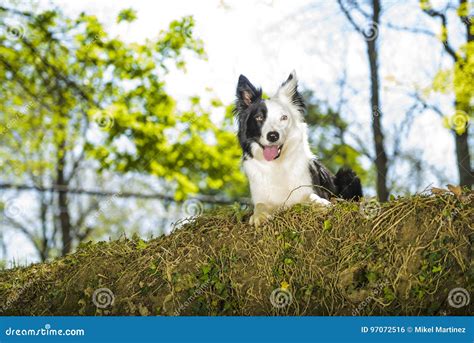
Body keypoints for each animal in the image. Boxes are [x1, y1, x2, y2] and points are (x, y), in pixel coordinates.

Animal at [233, 71, 362, 227]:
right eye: (259, 117)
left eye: (284, 117)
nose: (273, 136)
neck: (277, 164)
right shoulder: (261, 197)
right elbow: (260, 205)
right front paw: (259, 215)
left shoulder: (309, 190)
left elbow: (310, 196)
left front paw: (320, 203)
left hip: (348, 174)